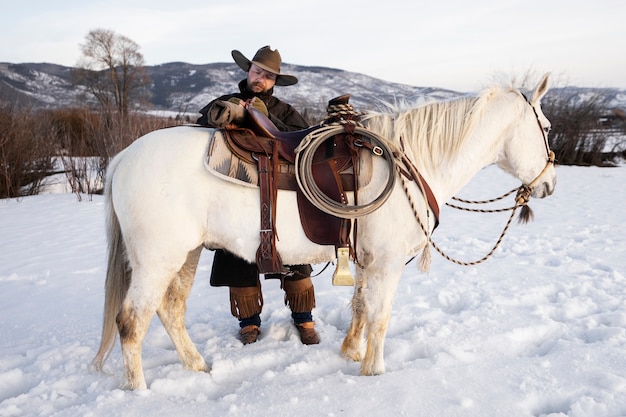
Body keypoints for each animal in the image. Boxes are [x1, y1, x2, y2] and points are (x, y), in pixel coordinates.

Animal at [91, 73, 552, 388]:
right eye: (546, 128)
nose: (549, 183)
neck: (411, 161)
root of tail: (124, 158)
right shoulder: (386, 264)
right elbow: (380, 316)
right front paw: (374, 371)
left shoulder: (366, 261)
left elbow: (360, 308)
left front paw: (350, 353)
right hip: (157, 260)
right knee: (131, 322)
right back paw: (140, 390)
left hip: (184, 255)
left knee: (170, 311)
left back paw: (197, 365)